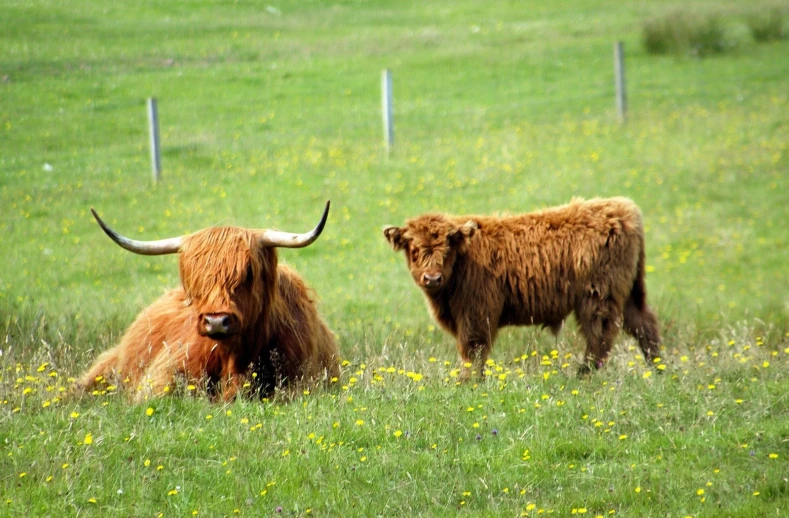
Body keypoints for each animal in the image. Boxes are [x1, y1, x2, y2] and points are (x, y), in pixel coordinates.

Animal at [382, 197, 660, 376]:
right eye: (414, 250)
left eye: (447, 248)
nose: (432, 278)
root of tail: (621, 208)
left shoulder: (476, 314)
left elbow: (473, 351)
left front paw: (469, 384)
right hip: (627, 294)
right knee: (644, 324)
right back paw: (658, 369)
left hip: (599, 296)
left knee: (599, 336)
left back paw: (584, 374)